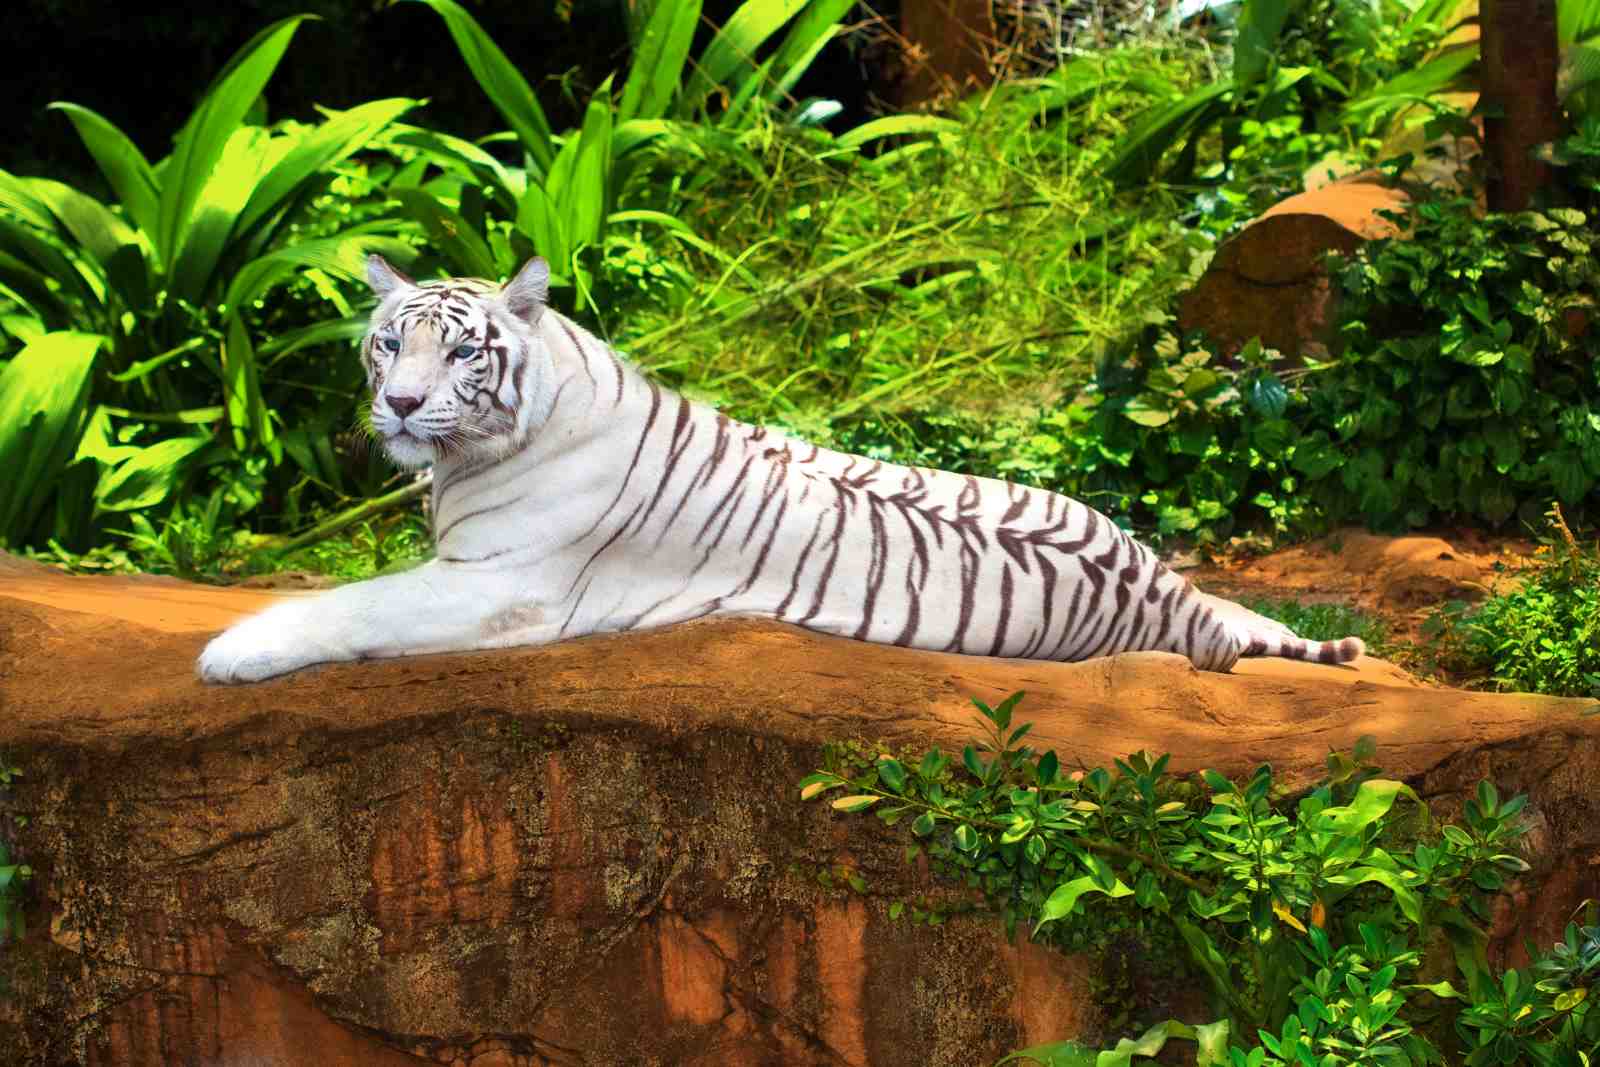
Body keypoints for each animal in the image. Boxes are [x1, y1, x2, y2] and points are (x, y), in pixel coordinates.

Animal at [196, 256, 1364, 684]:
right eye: (390, 344)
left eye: (459, 353)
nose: (396, 405)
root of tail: (1158, 598)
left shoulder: (502, 584)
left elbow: (355, 601)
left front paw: (229, 651)